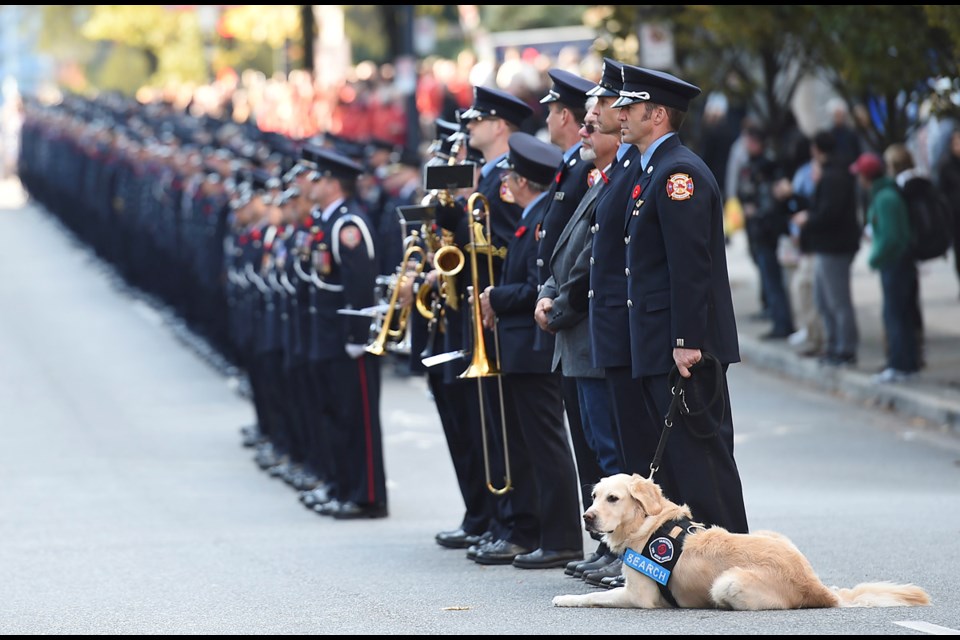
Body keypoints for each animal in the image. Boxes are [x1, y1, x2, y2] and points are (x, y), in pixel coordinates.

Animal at [556, 476, 928, 608]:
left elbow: (593, 597)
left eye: (614, 498)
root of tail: (818, 587)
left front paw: (565, 599)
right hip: (769, 534)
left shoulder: (639, 596)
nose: (587, 516)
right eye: (594, 496)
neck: (648, 524)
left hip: (727, 581)